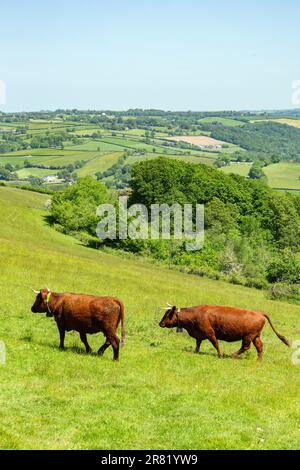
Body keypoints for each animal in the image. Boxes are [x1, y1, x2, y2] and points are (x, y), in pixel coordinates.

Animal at [158, 304, 290, 360]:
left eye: (168, 314)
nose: (160, 323)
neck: (196, 314)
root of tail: (259, 313)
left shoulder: (210, 333)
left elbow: (215, 344)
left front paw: (220, 355)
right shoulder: (199, 335)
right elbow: (198, 343)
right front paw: (196, 352)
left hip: (248, 336)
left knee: (246, 347)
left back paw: (232, 355)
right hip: (255, 336)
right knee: (259, 346)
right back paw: (259, 360)